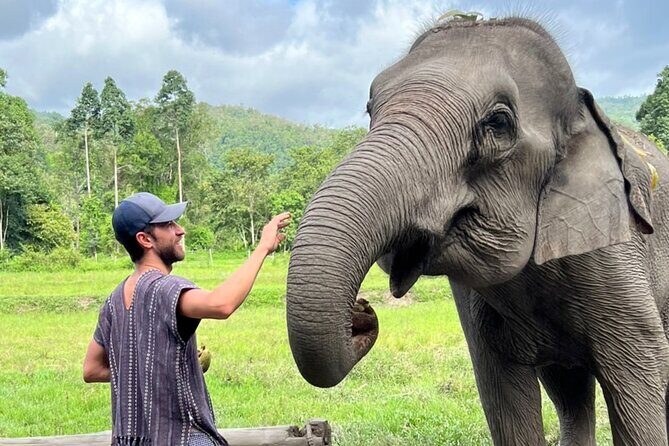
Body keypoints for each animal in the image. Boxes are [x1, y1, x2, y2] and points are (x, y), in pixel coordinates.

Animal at [285, 15, 669, 446]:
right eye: (370, 109)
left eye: (497, 122)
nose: (362, 311)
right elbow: (504, 397)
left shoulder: (614, 253)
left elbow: (639, 377)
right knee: (568, 390)